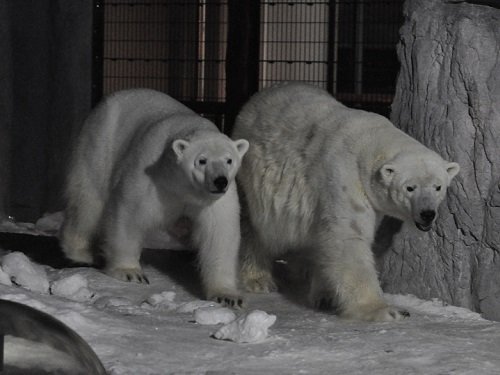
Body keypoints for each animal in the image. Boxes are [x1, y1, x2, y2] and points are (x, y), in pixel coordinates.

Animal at [60, 89, 248, 306]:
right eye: (202, 160)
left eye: (229, 160)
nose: (220, 181)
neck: (183, 186)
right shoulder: (152, 180)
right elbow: (129, 214)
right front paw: (130, 272)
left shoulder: (214, 201)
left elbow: (220, 234)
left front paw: (227, 296)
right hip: (100, 144)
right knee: (88, 200)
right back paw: (81, 252)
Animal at [232, 83, 458, 322]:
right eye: (410, 187)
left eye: (438, 186)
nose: (427, 213)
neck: (369, 143)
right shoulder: (344, 177)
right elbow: (349, 237)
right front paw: (385, 310)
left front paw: (326, 296)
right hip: (250, 177)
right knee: (251, 226)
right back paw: (258, 279)